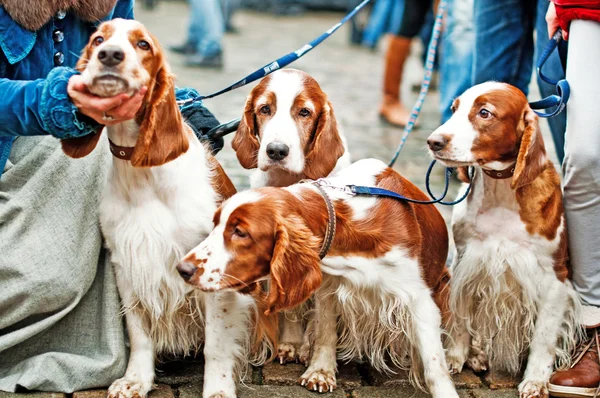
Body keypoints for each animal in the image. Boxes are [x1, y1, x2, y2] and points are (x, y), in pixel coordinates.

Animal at [61, 18, 268, 398]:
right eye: (97, 39)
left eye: (143, 44)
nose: (109, 54)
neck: (143, 172)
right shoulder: (127, 262)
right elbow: (139, 331)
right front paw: (136, 380)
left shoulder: (211, 265)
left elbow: (216, 344)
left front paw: (218, 389)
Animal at [176, 159, 458, 398]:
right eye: (215, 224)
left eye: (240, 232)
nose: (182, 269)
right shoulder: (328, 286)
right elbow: (324, 332)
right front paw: (320, 372)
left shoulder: (417, 298)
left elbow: (435, 364)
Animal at [231, 67, 352, 364]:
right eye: (265, 109)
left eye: (304, 112)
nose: (276, 151)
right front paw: (288, 343)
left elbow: (319, 313)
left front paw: (307, 350)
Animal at [426, 81, 584, 398]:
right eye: (454, 109)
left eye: (485, 113)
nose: (433, 141)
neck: (501, 194)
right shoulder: (466, 262)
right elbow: (461, 317)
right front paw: (456, 357)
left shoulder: (555, 280)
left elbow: (544, 336)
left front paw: (535, 380)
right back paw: (477, 355)